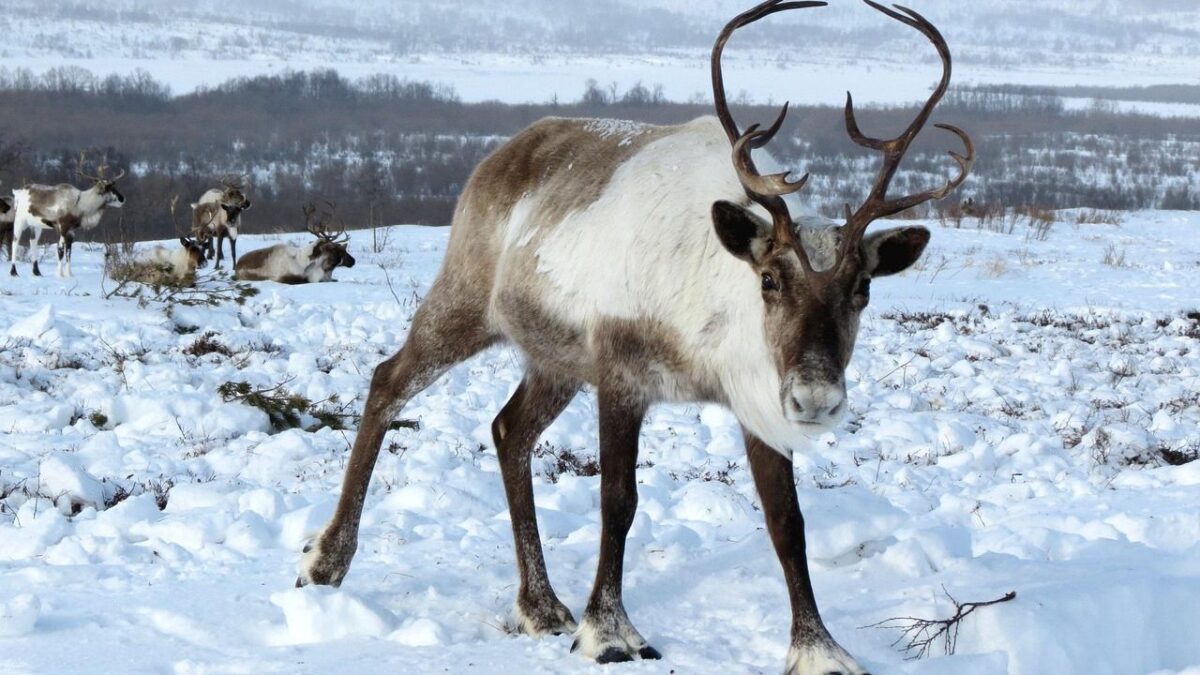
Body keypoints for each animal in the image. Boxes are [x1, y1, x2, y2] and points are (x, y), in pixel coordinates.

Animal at [295, 2, 972, 673]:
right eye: (770, 279)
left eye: (863, 288)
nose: (816, 400)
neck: (707, 329)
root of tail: (503, 153)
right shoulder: (621, 375)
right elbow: (618, 500)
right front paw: (609, 631)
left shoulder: (754, 399)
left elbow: (787, 520)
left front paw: (818, 648)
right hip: (465, 300)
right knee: (388, 380)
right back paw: (326, 561)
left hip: (557, 359)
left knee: (509, 430)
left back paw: (540, 604)